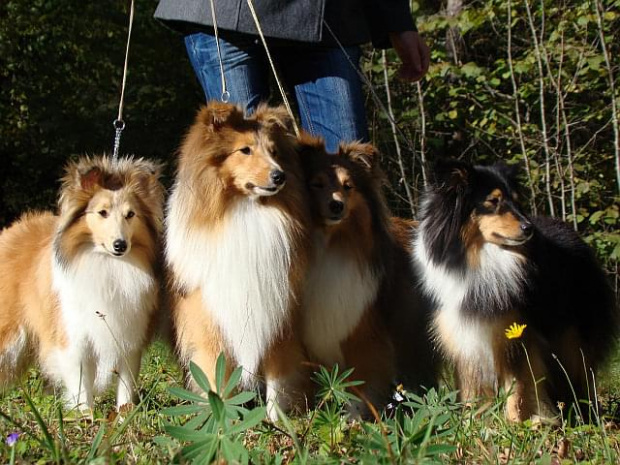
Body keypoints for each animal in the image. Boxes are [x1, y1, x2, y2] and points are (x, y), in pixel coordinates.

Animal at [0, 156, 163, 414]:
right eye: (102, 213)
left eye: (130, 214)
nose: (120, 245)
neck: (106, 263)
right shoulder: (73, 337)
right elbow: (81, 383)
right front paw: (85, 415)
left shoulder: (129, 336)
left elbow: (126, 383)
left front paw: (124, 414)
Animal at [166, 101, 312, 420]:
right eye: (244, 150)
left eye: (274, 151)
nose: (279, 176)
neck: (244, 211)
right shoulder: (210, 321)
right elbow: (217, 381)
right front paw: (223, 423)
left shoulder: (277, 319)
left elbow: (279, 380)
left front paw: (278, 422)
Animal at [300, 135, 436, 414]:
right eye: (316, 184)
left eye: (348, 186)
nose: (337, 205)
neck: (329, 243)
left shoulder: (363, 333)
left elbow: (361, 384)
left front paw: (356, 418)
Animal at [412, 159, 620, 420]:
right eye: (493, 201)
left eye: (516, 200)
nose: (528, 228)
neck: (480, 259)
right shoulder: (466, 337)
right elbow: (472, 390)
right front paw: (474, 422)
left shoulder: (517, 334)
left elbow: (518, 386)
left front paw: (517, 423)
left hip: (572, 334)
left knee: (582, 372)